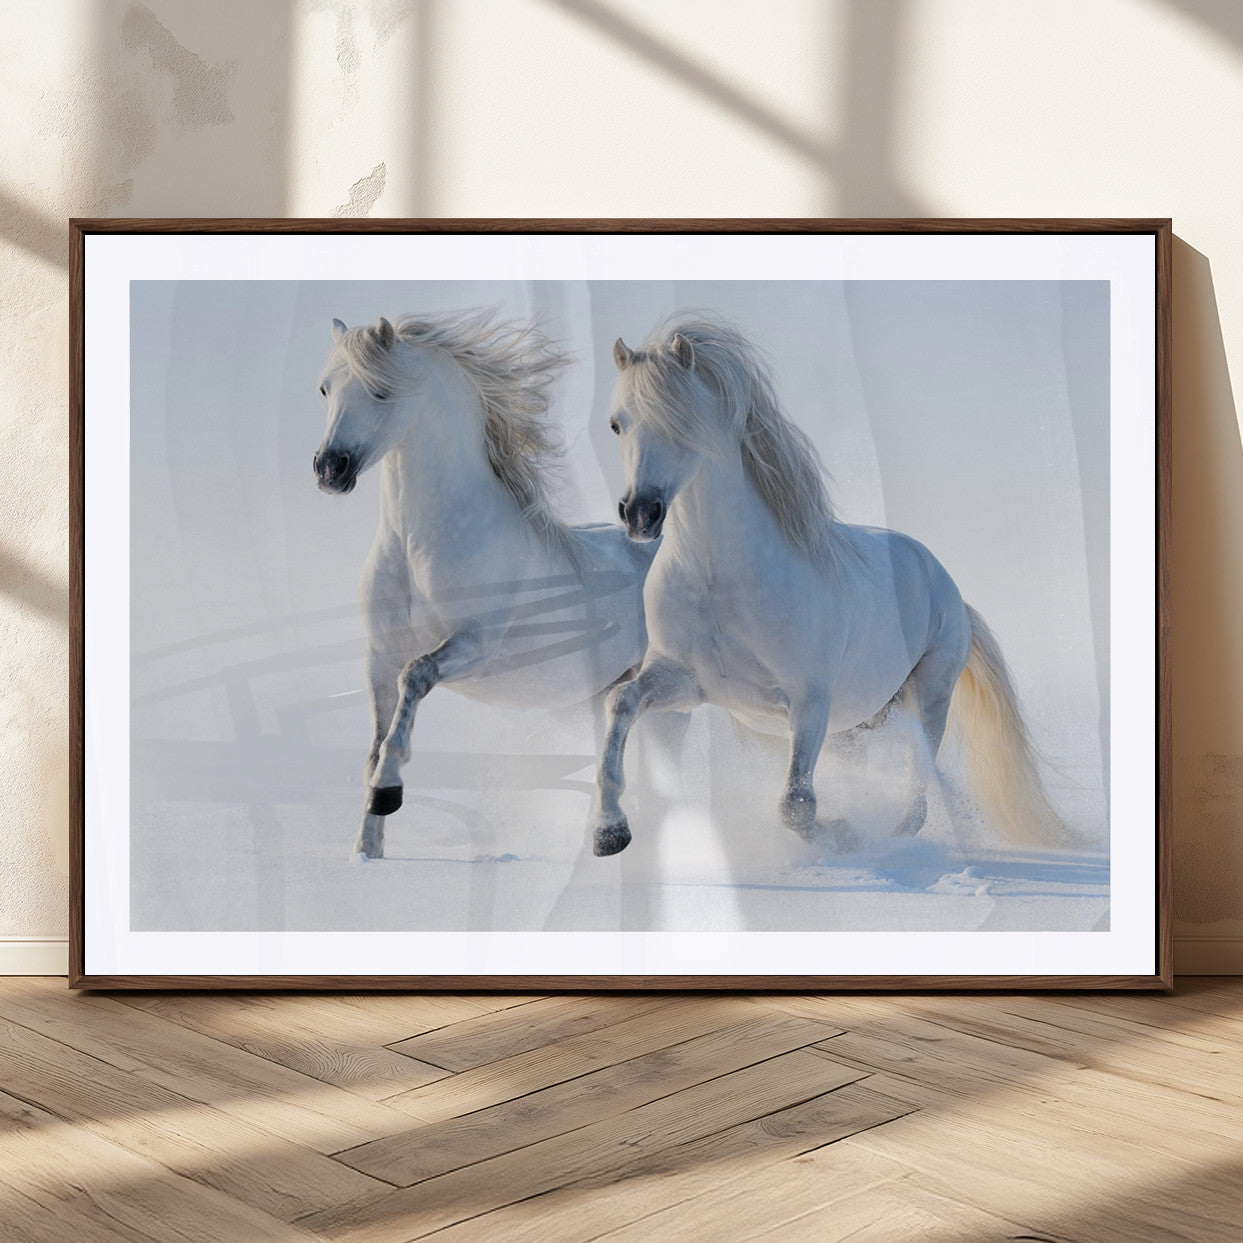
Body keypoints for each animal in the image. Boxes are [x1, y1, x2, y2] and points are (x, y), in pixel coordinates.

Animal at [313, 311, 656, 862]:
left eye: (381, 391)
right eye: (325, 388)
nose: (330, 469)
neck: (417, 545)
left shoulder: (475, 644)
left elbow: (415, 678)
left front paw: (388, 791)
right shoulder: (378, 655)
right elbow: (374, 742)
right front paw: (367, 852)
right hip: (603, 689)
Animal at [588, 314, 1071, 858]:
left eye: (683, 421)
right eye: (616, 423)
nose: (640, 514)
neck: (720, 581)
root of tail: (946, 585)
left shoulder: (809, 703)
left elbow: (796, 805)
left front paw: (843, 834)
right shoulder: (684, 682)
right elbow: (620, 703)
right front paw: (610, 831)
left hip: (928, 698)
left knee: (918, 789)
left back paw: (891, 840)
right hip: (855, 727)